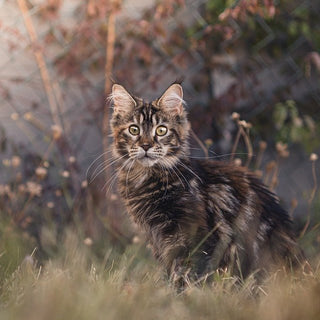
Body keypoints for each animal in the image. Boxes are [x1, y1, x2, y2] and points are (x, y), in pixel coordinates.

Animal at [109, 82, 304, 288]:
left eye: (161, 130)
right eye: (134, 130)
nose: (146, 146)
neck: (147, 179)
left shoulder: (195, 235)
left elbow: (188, 272)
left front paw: (183, 293)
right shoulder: (157, 238)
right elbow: (171, 270)